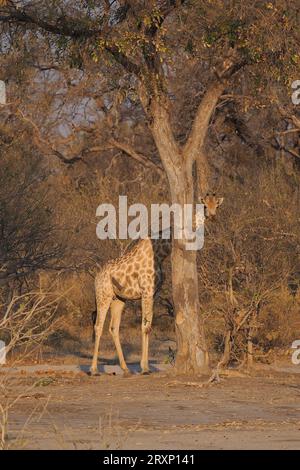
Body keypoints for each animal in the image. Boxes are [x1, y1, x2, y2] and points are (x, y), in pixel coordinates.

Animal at [88, 193, 223, 376]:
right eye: (204, 205)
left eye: (217, 205)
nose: (213, 216)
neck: (160, 253)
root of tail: (96, 277)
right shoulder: (146, 291)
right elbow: (145, 327)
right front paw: (145, 368)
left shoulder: (153, 293)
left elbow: (149, 325)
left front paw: (143, 366)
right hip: (103, 296)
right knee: (98, 326)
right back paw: (94, 369)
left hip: (119, 299)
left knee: (113, 328)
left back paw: (125, 369)